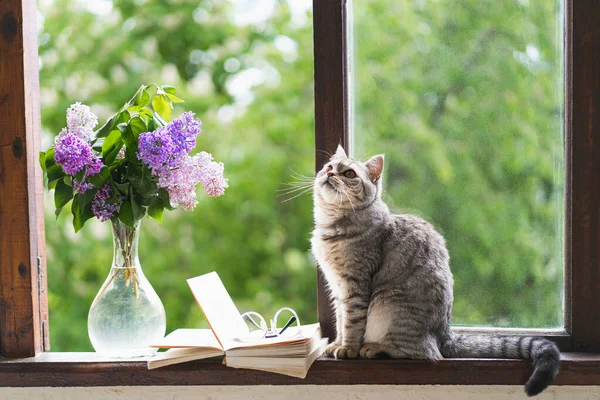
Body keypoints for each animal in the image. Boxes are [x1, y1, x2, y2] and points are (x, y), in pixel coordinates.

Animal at [312, 145, 560, 396]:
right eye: (329, 166)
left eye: (349, 174)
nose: (330, 173)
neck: (333, 225)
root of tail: (444, 334)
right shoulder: (338, 288)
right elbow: (340, 321)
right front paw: (337, 343)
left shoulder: (355, 287)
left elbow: (352, 324)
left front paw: (348, 348)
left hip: (387, 305)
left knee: (420, 351)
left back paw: (374, 347)